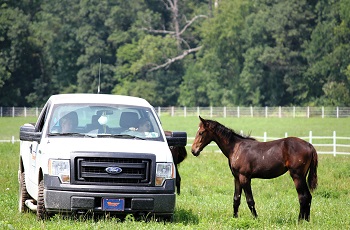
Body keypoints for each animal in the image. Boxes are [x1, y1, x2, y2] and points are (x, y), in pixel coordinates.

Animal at [190, 117, 318, 221]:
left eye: (201, 132)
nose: (193, 151)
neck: (236, 148)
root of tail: (310, 146)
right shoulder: (237, 178)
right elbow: (236, 199)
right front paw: (234, 218)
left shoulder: (245, 177)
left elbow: (250, 200)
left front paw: (256, 218)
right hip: (302, 176)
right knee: (308, 197)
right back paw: (307, 220)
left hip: (297, 176)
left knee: (303, 197)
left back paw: (300, 221)